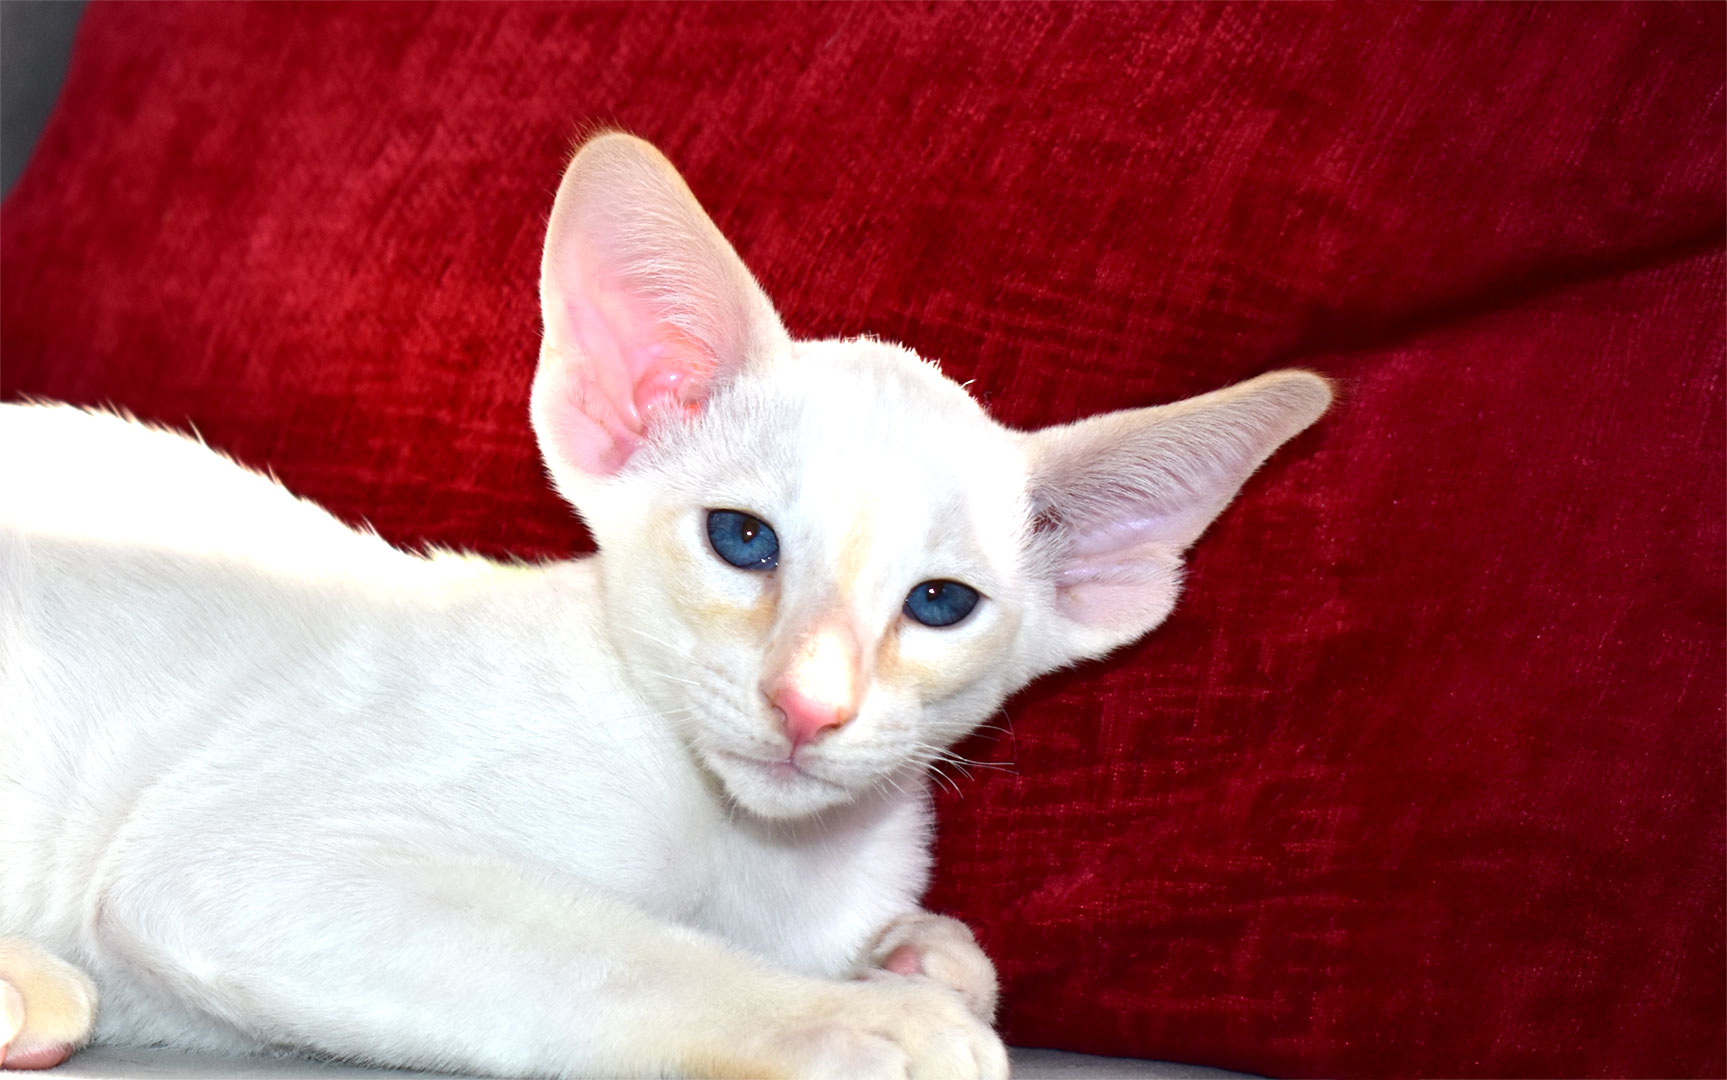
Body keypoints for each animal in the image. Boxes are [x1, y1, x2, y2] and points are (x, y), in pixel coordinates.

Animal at [0, 134, 1326, 1078]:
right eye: (743, 540)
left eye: (940, 604)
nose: (807, 706)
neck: (755, 862)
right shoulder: (243, 863)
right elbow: (602, 950)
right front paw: (852, 1018)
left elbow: (955, 957)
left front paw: (910, 958)